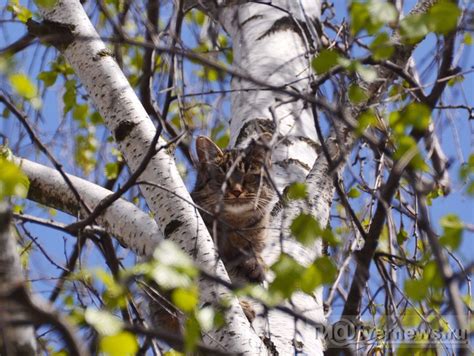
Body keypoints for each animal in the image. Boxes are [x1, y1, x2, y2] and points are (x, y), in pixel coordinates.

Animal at [192, 135, 274, 286]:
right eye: (222, 178)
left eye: (249, 177)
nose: (236, 191)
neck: (234, 223)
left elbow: (253, 251)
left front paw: (257, 263)